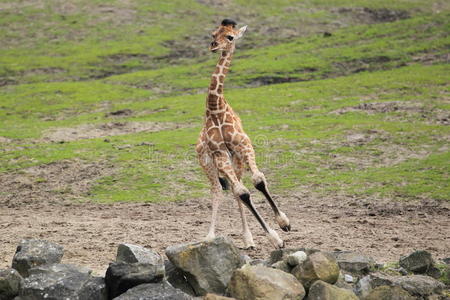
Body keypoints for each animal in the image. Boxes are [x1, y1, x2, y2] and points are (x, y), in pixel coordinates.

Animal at [195, 18, 290, 248]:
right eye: (213, 34)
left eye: (230, 37)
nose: (214, 46)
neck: (216, 109)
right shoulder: (220, 154)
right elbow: (243, 192)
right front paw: (275, 238)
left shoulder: (244, 146)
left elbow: (258, 180)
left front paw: (284, 223)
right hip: (208, 163)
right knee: (219, 191)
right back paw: (211, 236)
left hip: (236, 161)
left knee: (236, 189)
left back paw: (248, 238)